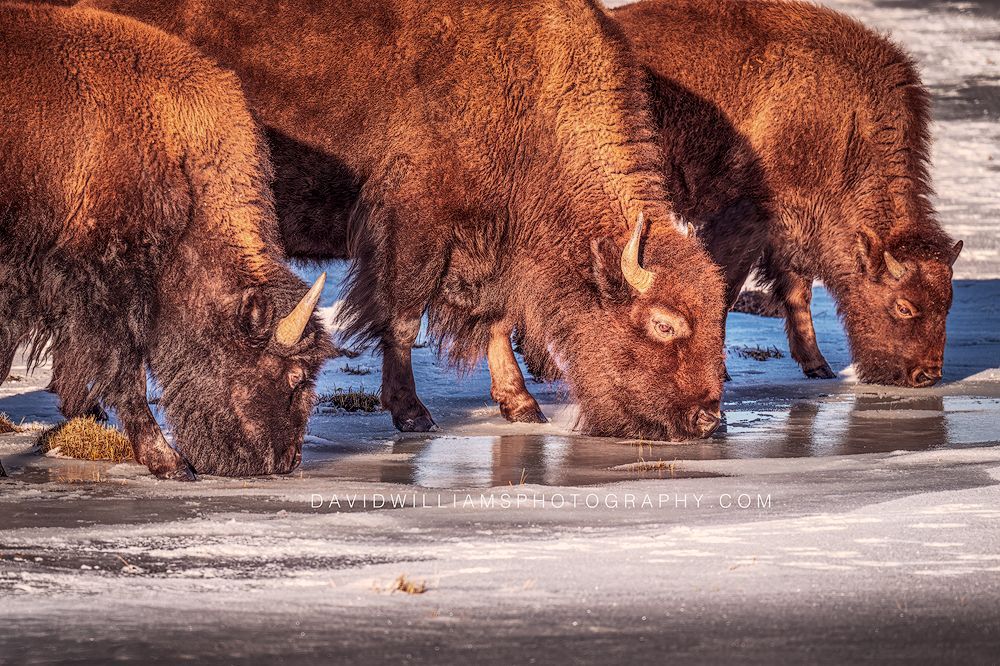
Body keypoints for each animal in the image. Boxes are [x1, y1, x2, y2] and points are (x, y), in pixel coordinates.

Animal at [85, 0, 728, 441]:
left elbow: (497, 319)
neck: (528, 87)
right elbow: (401, 315)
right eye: (664, 324)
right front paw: (413, 414)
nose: (706, 418)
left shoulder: (493, 242)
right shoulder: (415, 224)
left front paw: (521, 405)